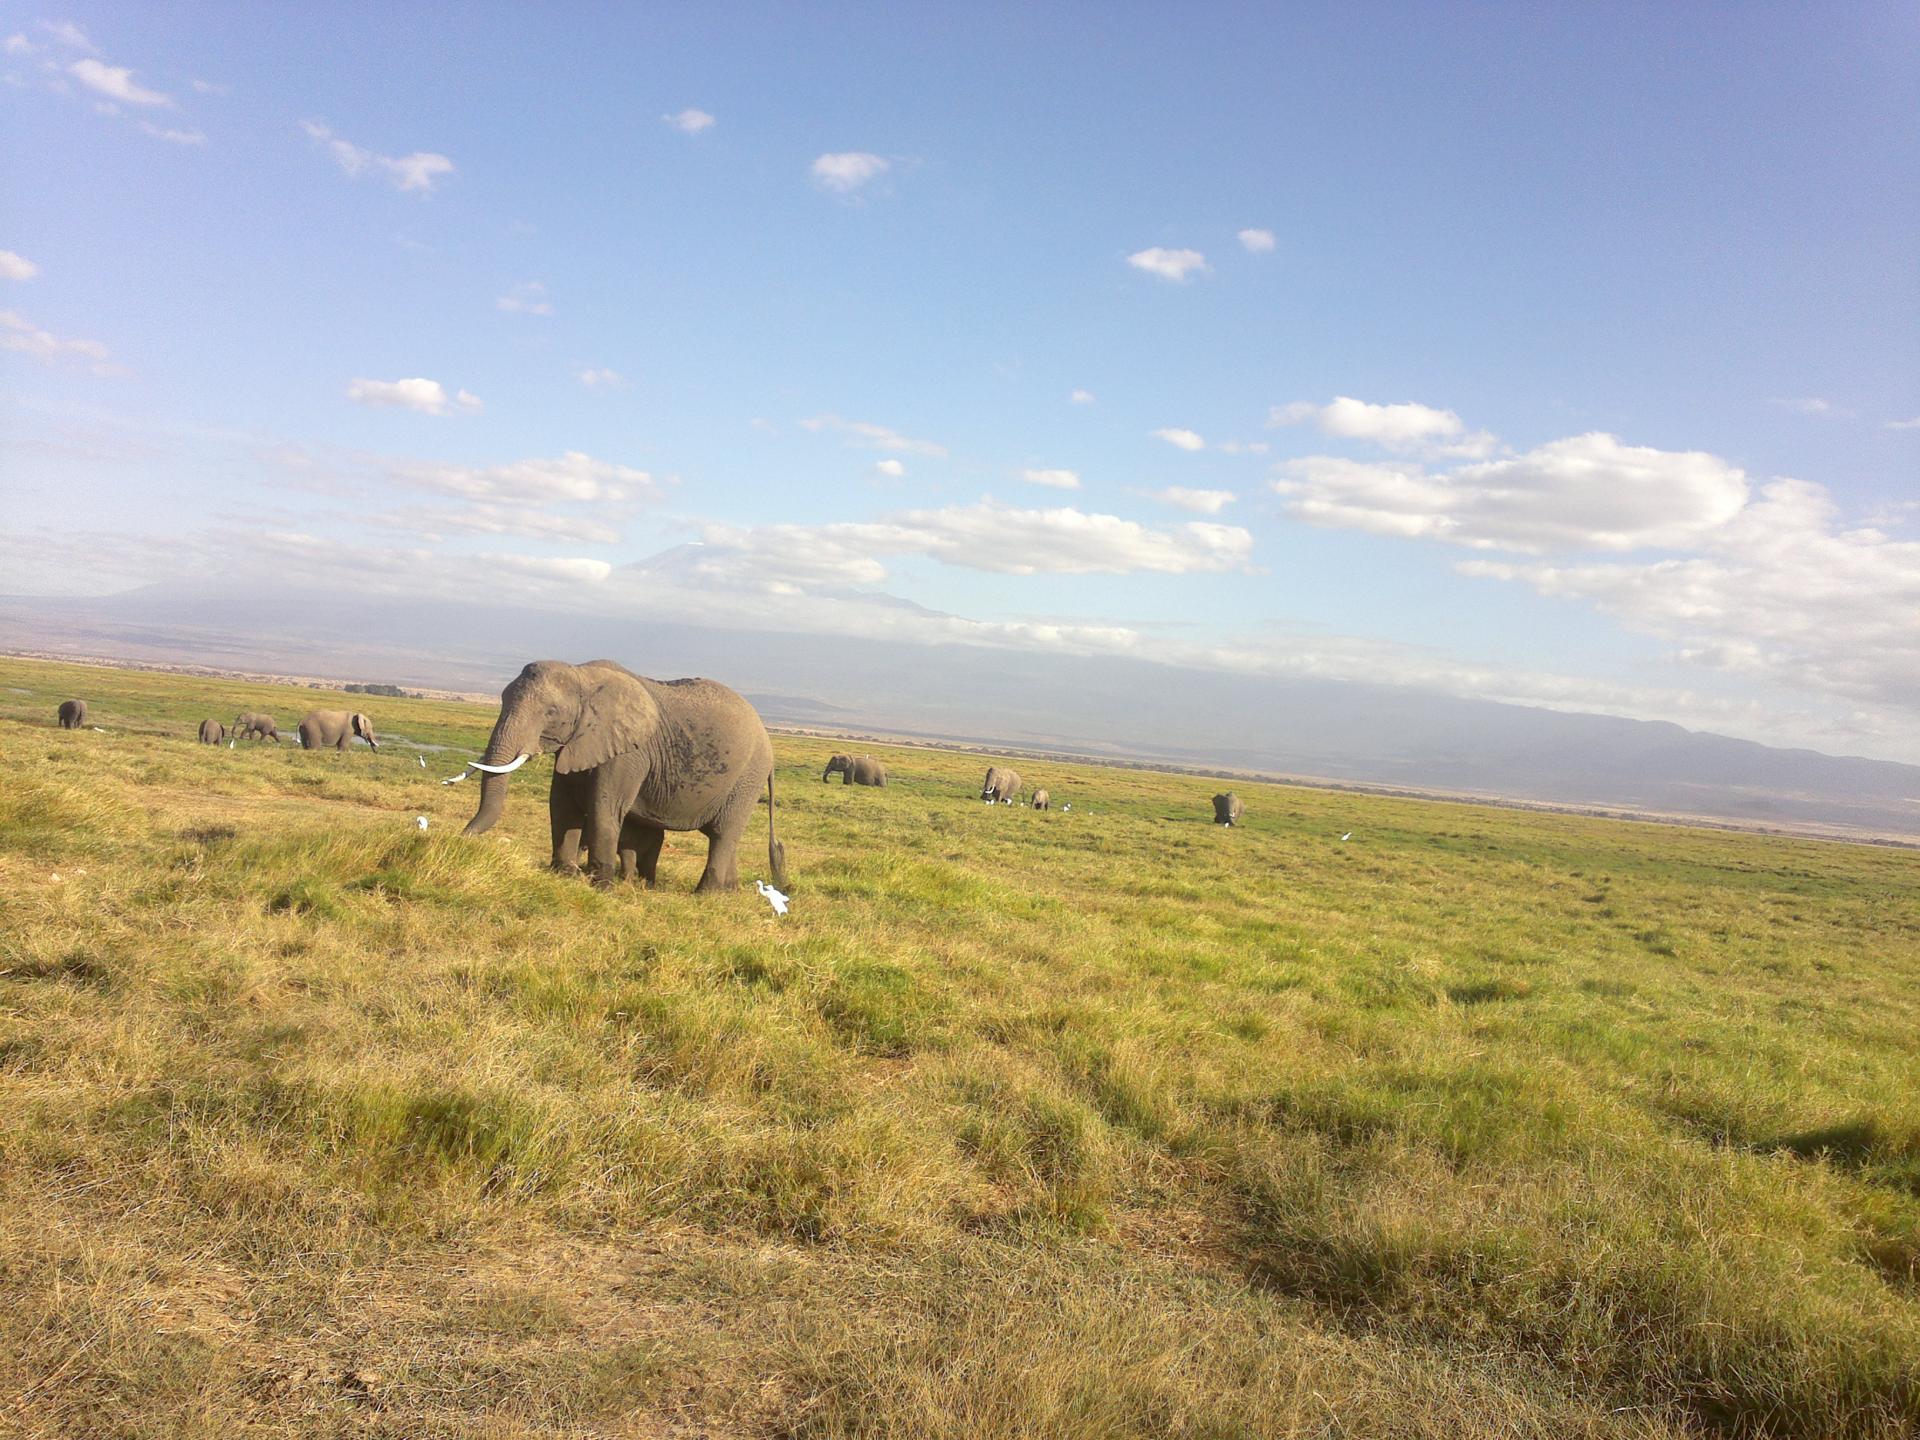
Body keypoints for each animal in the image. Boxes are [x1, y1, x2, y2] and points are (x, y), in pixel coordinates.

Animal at [460, 660, 783, 898]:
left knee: (722, 834)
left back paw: (705, 896)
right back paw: (729, 893)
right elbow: (562, 807)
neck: (582, 675)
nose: (461, 838)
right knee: (723, 836)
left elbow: (604, 809)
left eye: (550, 712)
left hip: (747, 778)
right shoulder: (578, 745)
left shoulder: (629, 753)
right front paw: (564, 874)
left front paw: (601, 888)